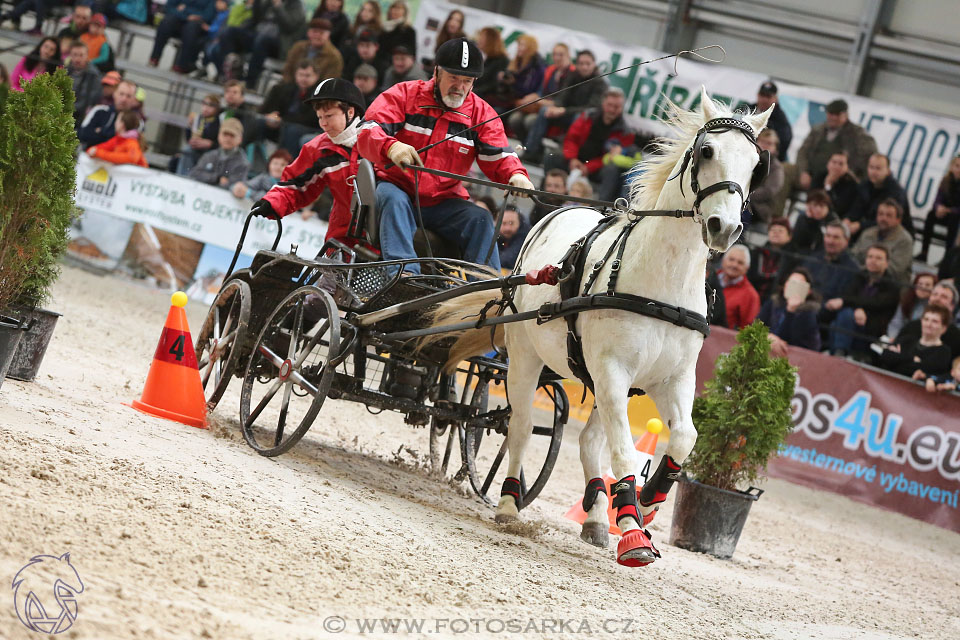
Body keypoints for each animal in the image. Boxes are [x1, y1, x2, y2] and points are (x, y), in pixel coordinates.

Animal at [428, 89, 772, 564]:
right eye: (707, 151)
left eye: (757, 166)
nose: (726, 228)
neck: (660, 283)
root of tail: (556, 213)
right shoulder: (613, 370)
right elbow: (624, 450)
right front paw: (632, 532)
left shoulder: (672, 378)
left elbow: (684, 437)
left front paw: (646, 501)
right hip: (528, 357)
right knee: (519, 427)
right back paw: (510, 503)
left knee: (590, 440)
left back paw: (595, 516)